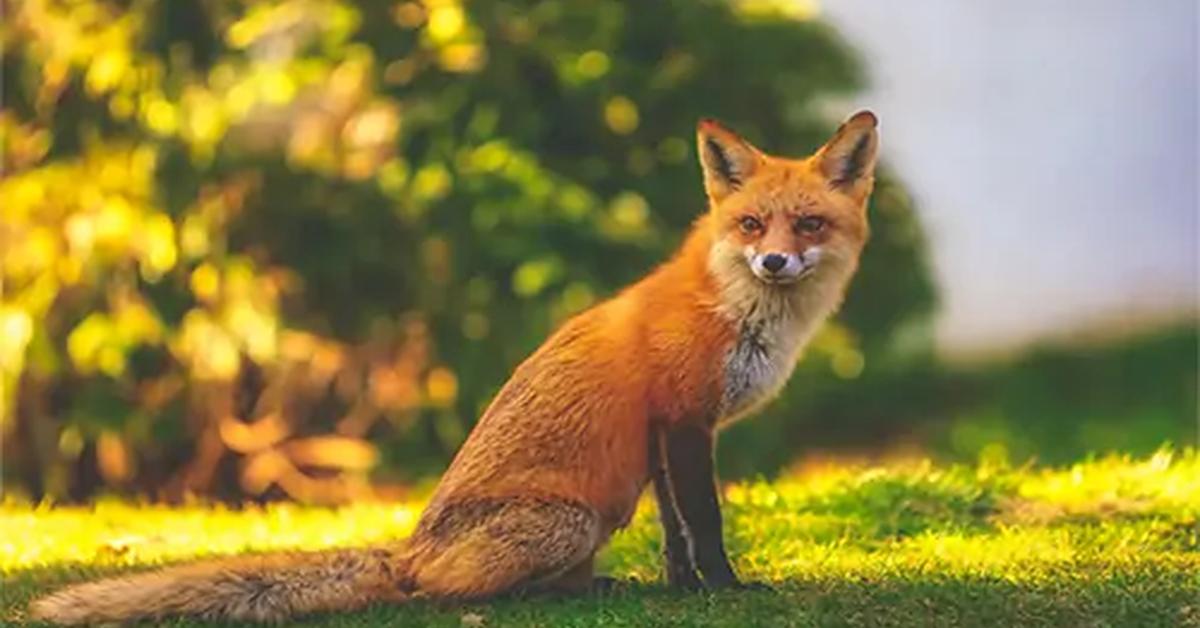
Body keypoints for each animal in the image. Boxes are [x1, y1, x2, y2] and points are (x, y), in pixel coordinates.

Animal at [30, 110, 883, 624]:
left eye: (808, 224)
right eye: (751, 224)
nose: (774, 262)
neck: (737, 310)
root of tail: (407, 547)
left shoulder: (669, 433)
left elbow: (676, 530)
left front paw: (684, 592)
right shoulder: (683, 419)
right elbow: (704, 522)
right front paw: (729, 589)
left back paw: (595, 585)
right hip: (573, 520)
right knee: (434, 593)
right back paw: (536, 596)